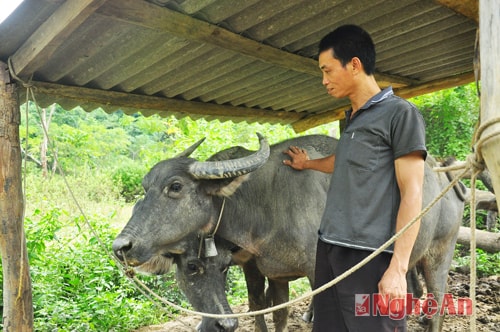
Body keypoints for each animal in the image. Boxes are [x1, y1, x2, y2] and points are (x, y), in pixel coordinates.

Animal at [113, 135, 464, 332]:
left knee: (438, 300)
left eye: (175, 187)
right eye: (144, 187)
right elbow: (268, 312)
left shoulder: (316, 272)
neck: (264, 202)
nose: (122, 245)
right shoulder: (264, 270)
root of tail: (444, 174)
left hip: (440, 252)